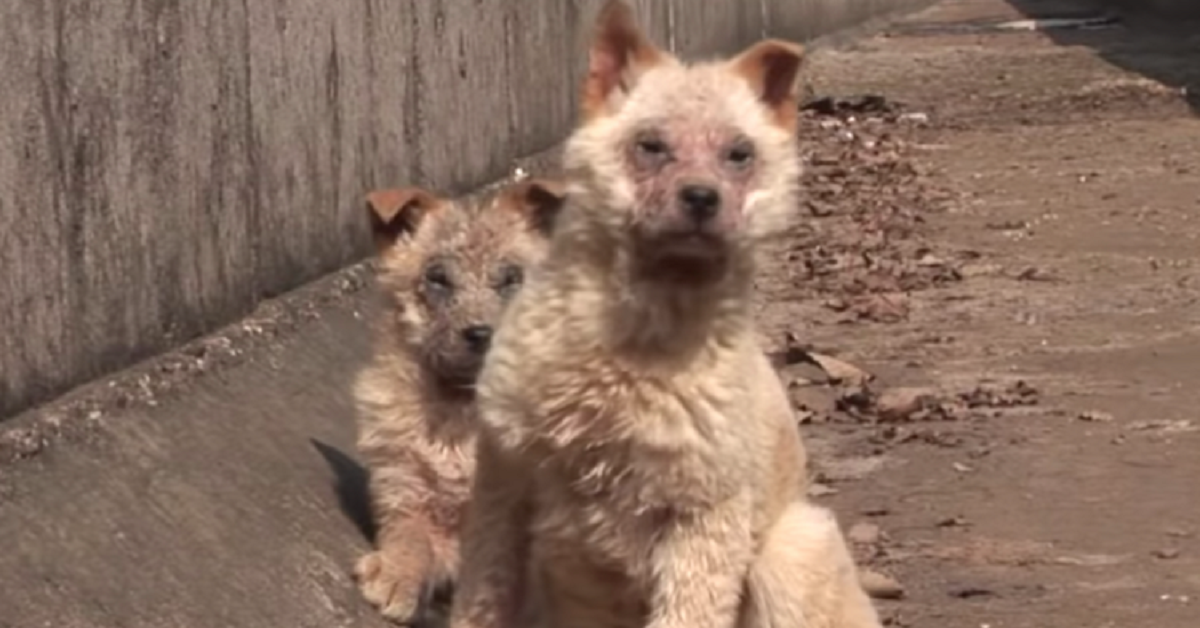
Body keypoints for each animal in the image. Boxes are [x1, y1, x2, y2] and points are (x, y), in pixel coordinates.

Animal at [350, 175, 566, 624]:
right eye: (438, 278)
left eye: (512, 278)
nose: (480, 334)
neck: (461, 412)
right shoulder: (405, 489)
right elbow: (410, 538)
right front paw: (394, 575)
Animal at [451, 1, 883, 628]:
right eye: (651, 145)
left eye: (739, 154)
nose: (701, 198)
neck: (640, 331)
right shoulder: (504, 487)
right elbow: (481, 599)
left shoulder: (703, 519)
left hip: (792, 550)